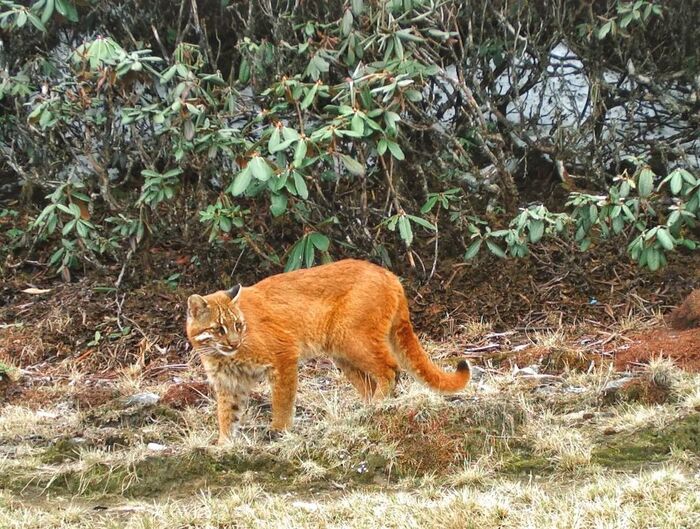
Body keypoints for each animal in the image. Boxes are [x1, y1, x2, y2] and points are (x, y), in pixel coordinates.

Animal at [186, 258, 470, 442]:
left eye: (238, 325)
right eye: (219, 329)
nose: (234, 343)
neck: (221, 356)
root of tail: (389, 275)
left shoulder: (284, 355)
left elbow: (282, 398)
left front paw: (278, 429)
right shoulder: (229, 383)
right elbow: (227, 415)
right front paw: (223, 445)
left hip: (352, 340)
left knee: (390, 368)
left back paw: (376, 407)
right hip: (341, 352)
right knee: (370, 382)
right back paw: (364, 412)